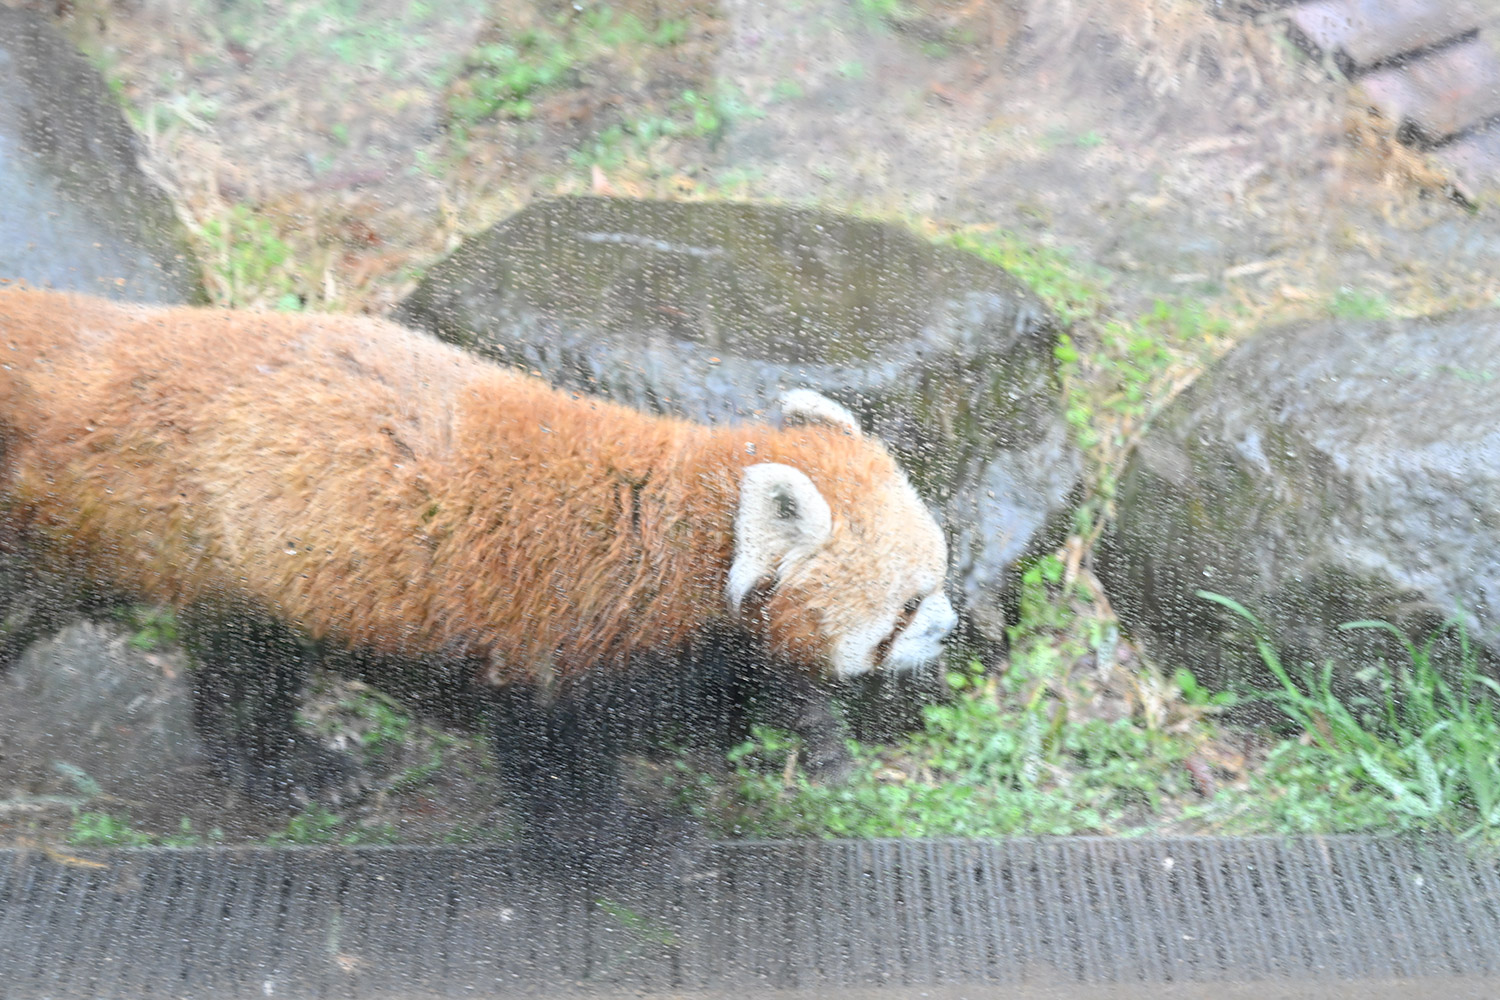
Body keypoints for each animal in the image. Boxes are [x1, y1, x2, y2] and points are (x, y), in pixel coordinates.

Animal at [0, 287, 956, 842]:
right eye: (909, 603)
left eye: (940, 582)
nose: (951, 629)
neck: (675, 538)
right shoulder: (561, 646)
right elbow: (559, 766)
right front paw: (627, 846)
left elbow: (741, 693)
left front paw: (814, 741)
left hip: (242, 573)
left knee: (242, 677)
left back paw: (291, 770)